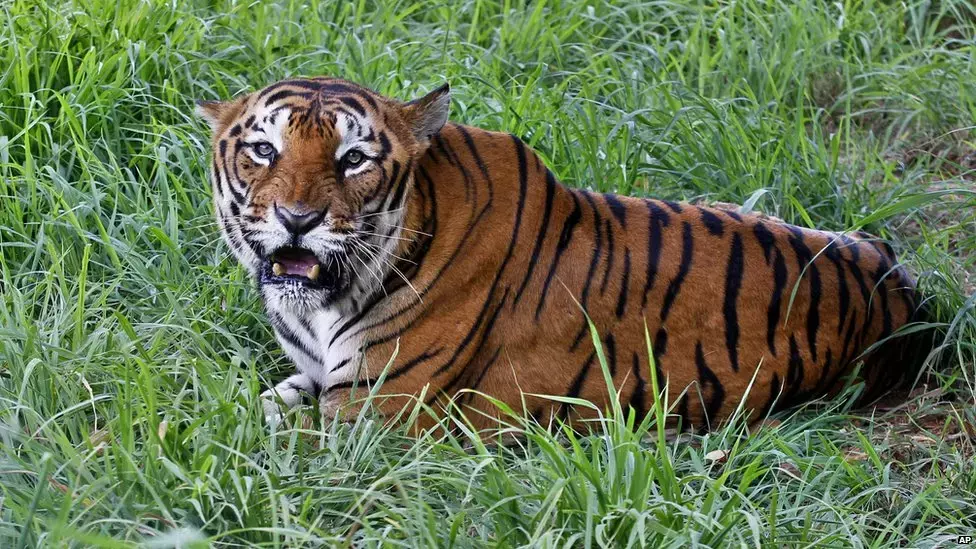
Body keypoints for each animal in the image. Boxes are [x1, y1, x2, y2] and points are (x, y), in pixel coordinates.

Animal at [196, 77, 924, 433]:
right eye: (263, 149)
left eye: (353, 159)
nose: (298, 219)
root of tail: (905, 283)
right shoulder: (317, 380)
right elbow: (248, 406)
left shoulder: (372, 413)